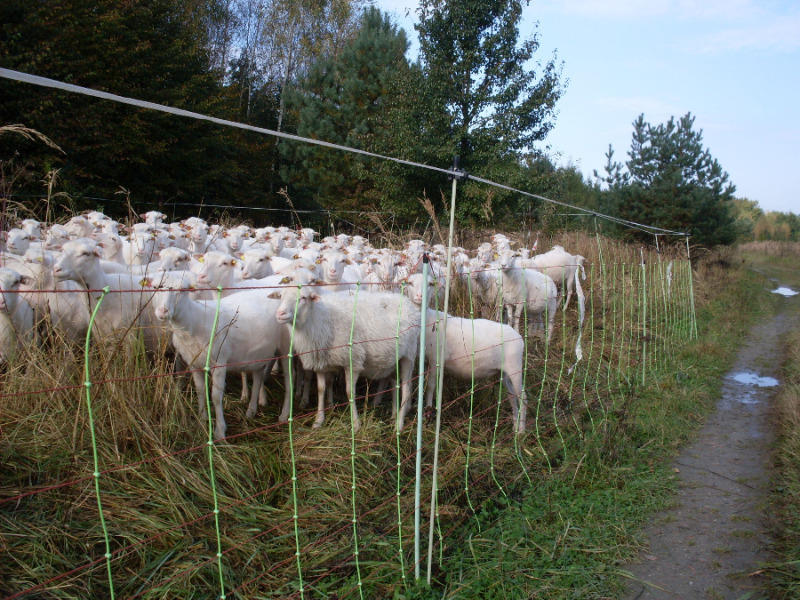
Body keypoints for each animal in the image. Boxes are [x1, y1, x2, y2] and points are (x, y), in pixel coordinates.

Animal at [152, 284, 292, 438]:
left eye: (183, 289)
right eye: (156, 287)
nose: (162, 311)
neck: (196, 319)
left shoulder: (219, 363)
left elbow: (216, 396)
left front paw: (220, 431)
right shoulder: (195, 364)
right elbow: (201, 391)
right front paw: (202, 420)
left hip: (286, 347)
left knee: (289, 379)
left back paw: (284, 415)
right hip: (259, 353)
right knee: (257, 377)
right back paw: (251, 411)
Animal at [272, 288, 418, 432]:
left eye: (303, 297)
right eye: (280, 296)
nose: (280, 313)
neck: (318, 318)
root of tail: (405, 300)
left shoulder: (353, 361)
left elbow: (350, 392)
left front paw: (356, 424)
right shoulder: (320, 363)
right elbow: (321, 389)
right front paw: (318, 420)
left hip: (409, 355)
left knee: (406, 390)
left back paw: (399, 424)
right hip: (395, 360)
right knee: (394, 383)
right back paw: (394, 414)